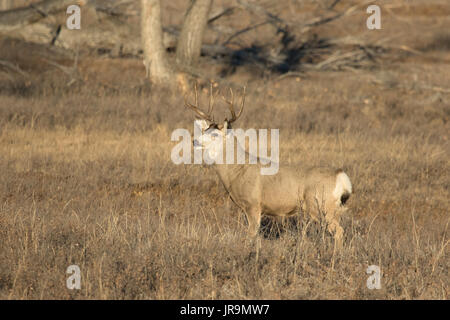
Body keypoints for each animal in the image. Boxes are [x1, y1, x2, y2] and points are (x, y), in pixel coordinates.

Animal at [183, 84, 352, 244]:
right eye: (204, 130)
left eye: (215, 134)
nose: (194, 141)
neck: (237, 171)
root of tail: (341, 176)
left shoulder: (253, 203)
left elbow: (251, 235)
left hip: (321, 205)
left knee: (339, 231)